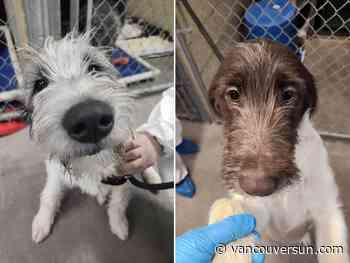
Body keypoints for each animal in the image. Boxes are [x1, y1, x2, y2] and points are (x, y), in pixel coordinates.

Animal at [209, 39, 348, 263]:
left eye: (288, 94)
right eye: (233, 94)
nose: (257, 186)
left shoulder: (328, 211)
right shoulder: (256, 208)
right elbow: (234, 211)